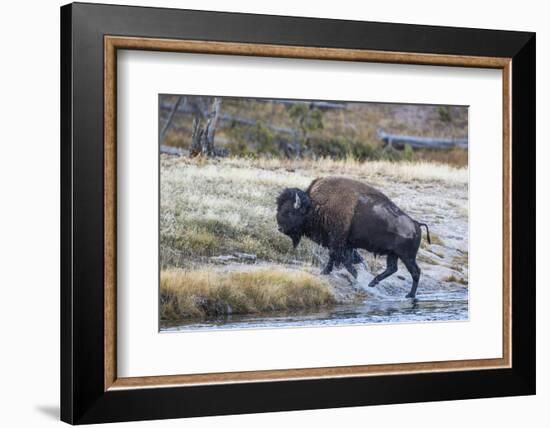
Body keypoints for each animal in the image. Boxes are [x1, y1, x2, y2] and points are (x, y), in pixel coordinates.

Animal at [276, 176, 432, 298]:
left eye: (289, 211)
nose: (280, 228)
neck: (315, 206)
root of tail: (416, 224)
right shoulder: (344, 244)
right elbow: (343, 258)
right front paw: (330, 271)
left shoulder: (338, 241)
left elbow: (339, 258)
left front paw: (347, 274)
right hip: (393, 254)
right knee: (392, 268)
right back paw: (373, 283)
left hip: (407, 256)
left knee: (415, 272)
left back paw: (409, 295)